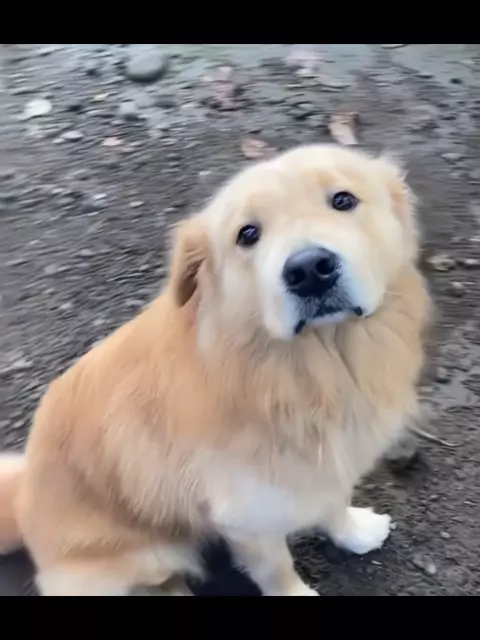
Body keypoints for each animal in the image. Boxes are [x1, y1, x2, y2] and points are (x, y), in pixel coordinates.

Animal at [0, 144, 430, 596]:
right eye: (248, 234)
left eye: (343, 200)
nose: (310, 269)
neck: (313, 367)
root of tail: (23, 501)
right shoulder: (248, 518)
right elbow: (277, 569)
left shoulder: (326, 464)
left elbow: (335, 501)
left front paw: (354, 531)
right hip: (148, 556)